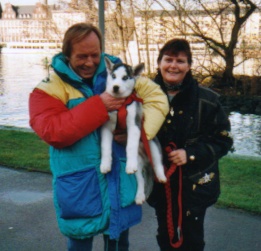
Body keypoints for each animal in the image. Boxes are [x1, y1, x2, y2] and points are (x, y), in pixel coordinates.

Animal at [100, 57, 167, 205]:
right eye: (113, 76)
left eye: (125, 78)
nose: (115, 87)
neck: (120, 104)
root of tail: (147, 161)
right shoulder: (106, 127)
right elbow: (105, 147)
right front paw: (105, 164)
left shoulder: (134, 125)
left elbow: (130, 146)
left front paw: (129, 164)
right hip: (139, 163)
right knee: (140, 180)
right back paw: (139, 195)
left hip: (152, 145)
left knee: (158, 163)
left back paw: (161, 176)